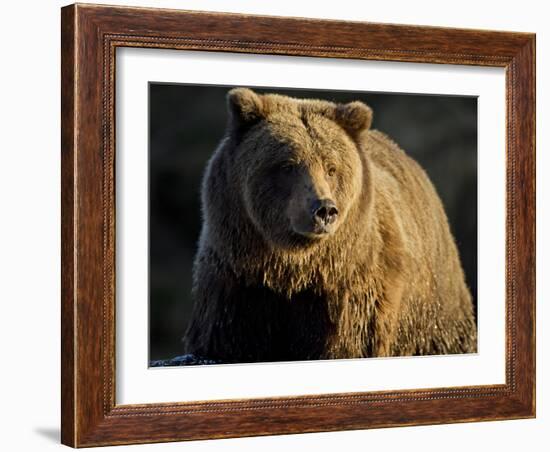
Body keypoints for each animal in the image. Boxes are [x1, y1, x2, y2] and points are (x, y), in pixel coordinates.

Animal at [182, 88, 478, 364]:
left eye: (331, 167)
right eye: (288, 165)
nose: (324, 209)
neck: (293, 268)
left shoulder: (351, 290)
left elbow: (347, 343)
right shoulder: (237, 279)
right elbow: (228, 338)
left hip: (432, 308)